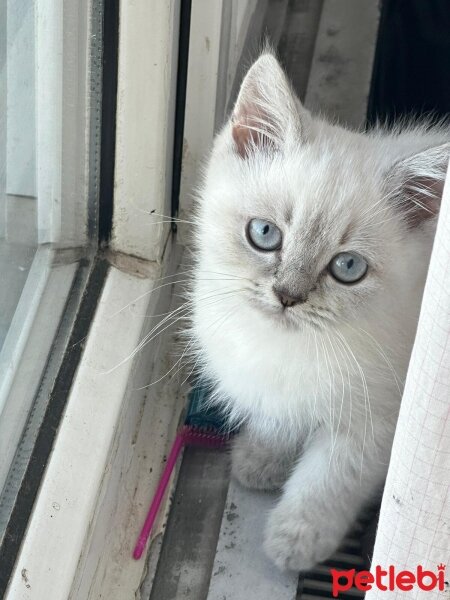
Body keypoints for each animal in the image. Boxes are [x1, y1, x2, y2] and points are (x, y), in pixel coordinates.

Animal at [188, 52, 448, 572]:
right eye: (264, 233)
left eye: (347, 268)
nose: (287, 295)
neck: (295, 348)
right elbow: (278, 416)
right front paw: (261, 458)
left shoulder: (379, 420)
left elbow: (330, 481)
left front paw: (296, 538)